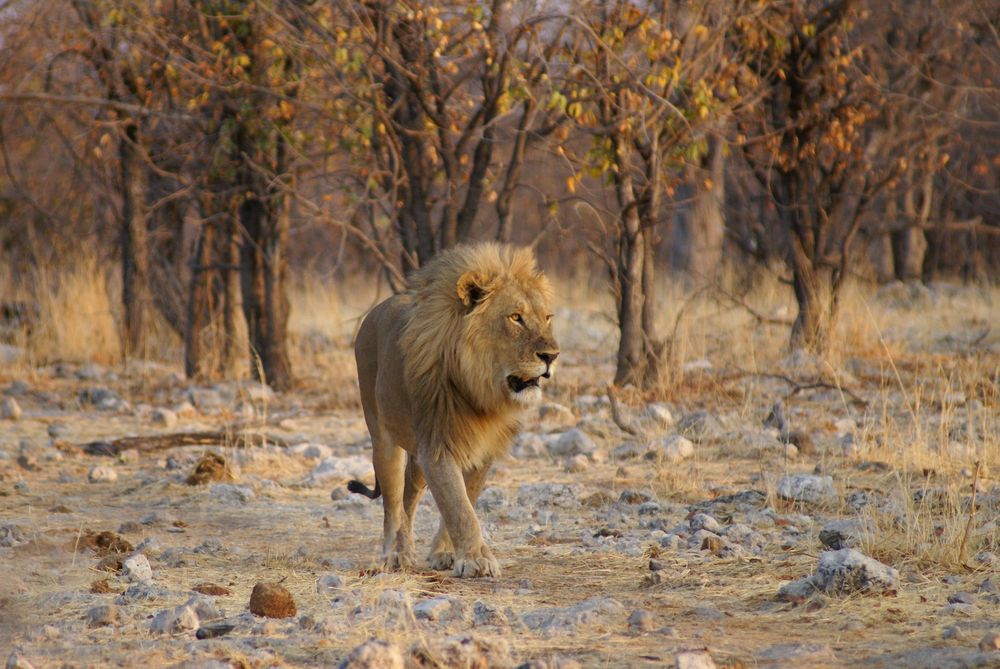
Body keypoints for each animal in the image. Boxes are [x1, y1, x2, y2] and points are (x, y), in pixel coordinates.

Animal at [348, 243, 560, 576]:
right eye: (516, 317)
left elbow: (464, 500)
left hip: (417, 457)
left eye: (547, 317)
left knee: (408, 500)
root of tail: (375, 311)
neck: (481, 392)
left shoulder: (481, 451)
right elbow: (458, 506)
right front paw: (476, 560)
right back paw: (394, 555)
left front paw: (446, 552)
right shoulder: (437, 447)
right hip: (383, 438)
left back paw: (405, 549)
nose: (552, 356)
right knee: (392, 505)